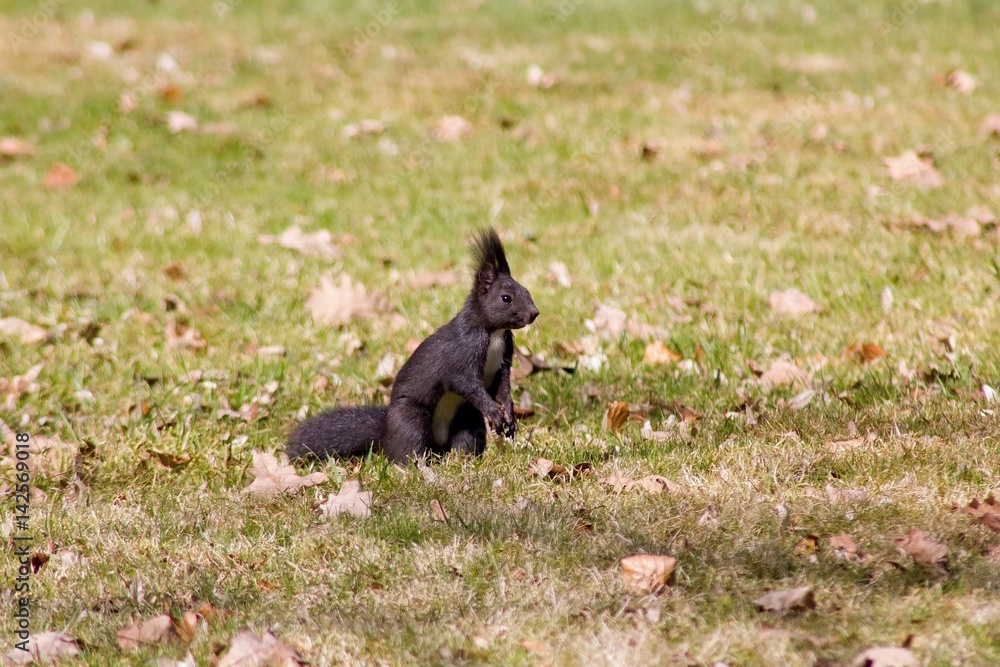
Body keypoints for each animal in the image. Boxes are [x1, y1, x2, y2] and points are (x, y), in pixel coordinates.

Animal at [286, 228, 539, 463]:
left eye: (526, 290)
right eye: (506, 298)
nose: (534, 313)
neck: (494, 332)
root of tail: (386, 434)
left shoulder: (503, 359)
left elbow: (502, 387)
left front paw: (509, 414)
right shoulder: (461, 355)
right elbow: (467, 384)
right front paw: (494, 412)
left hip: (466, 418)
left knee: (464, 440)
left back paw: (462, 461)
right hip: (412, 420)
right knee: (408, 447)